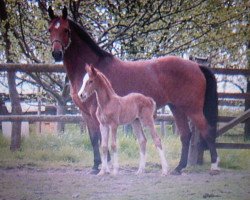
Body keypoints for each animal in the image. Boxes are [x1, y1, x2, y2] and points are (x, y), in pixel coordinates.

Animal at [47, 6, 220, 175]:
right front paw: (96, 166)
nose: (56, 53)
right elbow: (94, 138)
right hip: (177, 108)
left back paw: (214, 166)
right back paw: (178, 168)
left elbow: (102, 140)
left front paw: (105, 166)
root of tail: (197, 66)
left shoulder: (96, 114)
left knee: (207, 132)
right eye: (49, 30)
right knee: (185, 135)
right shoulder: (86, 114)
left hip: (193, 109)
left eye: (66, 30)